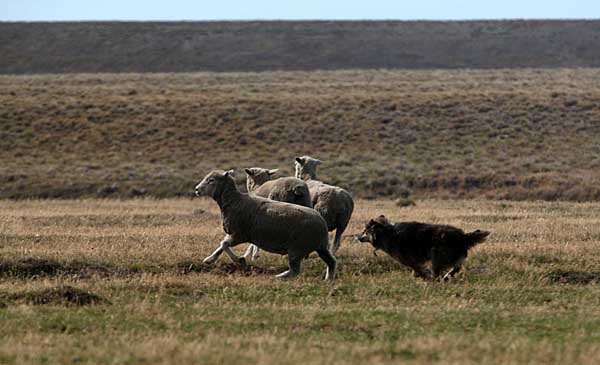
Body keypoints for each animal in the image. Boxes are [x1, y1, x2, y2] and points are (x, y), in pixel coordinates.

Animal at [195, 169, 336, 280]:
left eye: (211, 180)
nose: (196, 190)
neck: (234, 201)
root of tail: (322, 223)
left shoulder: (239, 234)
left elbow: (224, 244)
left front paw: (240, 260)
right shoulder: (235, 233)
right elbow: (221, 245)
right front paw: (210, 259)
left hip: (297, 249)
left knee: (295, 271)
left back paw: (279, 277)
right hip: (321, 247)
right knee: (332, 262)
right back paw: (328, 279)